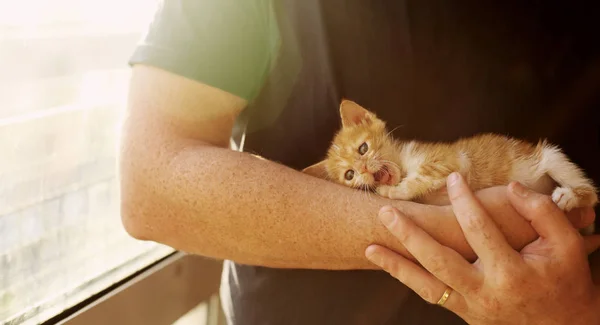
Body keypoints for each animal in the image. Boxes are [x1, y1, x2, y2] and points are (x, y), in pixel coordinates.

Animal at [308, 100, 596, 232]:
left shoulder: (451, 159)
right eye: (349, 175)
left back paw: (570, 196)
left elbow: (421, 177)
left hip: (551, 156)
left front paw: (393, 191)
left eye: (363, 149)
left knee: (592, 193)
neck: (403, 162)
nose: (365, 171)